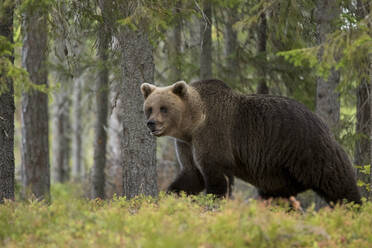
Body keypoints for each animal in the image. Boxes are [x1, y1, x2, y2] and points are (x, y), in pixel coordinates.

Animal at [140, 79, 360, 205]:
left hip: (308, 149)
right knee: (280, 196)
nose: (151, 124)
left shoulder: (214, 136)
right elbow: (192, 175)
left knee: (338, 183)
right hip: (278, 173)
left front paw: (214, 203)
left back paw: (353, 208)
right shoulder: (187, 144)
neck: (193, 124)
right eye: (149, 108)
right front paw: (170, 194)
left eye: (164, 108)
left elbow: (216, 179)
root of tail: (320, 120)